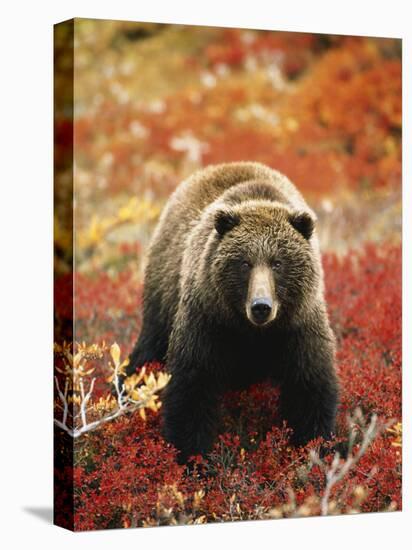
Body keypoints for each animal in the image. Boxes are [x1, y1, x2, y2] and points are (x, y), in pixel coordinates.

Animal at [127, 163, 340, 466]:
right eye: (244, 262)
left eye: (277, 263)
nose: (261, 306)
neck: (252, 332)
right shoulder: (208, 320)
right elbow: (191, 388)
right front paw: (193, 458)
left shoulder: (298, 327)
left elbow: (310, 387)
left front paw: (313, 450)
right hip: (163, 295)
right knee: (147, 351)